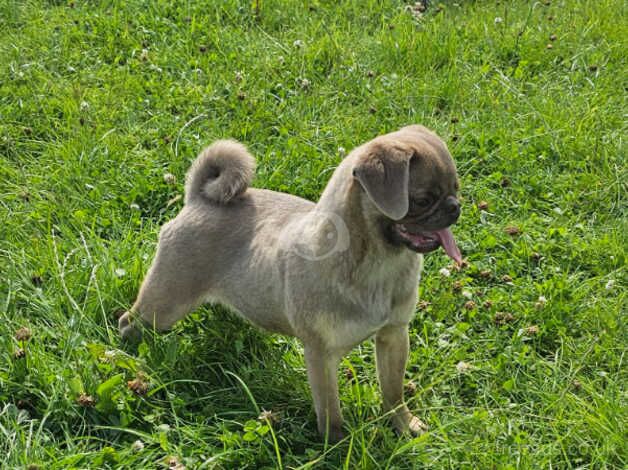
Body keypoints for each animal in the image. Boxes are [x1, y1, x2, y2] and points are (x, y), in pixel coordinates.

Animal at [119, 124, 462, 440]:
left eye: (455, 189)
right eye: (422, 200)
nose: (454, 206)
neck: (379, 263)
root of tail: (199, 200)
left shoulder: (393, 336)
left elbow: (393, 392)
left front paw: (404, 425)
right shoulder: (320, 354)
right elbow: (330, 410)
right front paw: (337, 447)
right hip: (165, 303)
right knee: (130, 320)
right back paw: (130, 352)